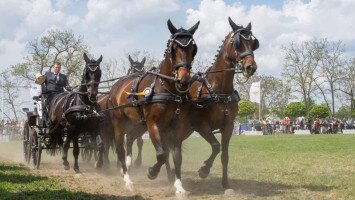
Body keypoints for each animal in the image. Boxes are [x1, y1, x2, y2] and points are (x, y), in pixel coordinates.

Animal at [104, 19, 200, 191]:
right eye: (173, 49)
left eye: (193, 49)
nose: (183, 80)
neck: (168, 89)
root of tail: (115, 87)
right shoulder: (153, 123)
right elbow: (162, 154)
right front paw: (152, 172)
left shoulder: (176, 126)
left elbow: (176, 156)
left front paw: (178, 186)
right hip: (119, 123)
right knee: (120, 148)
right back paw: (127, 179)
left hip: (139, 124)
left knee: (131, 139)